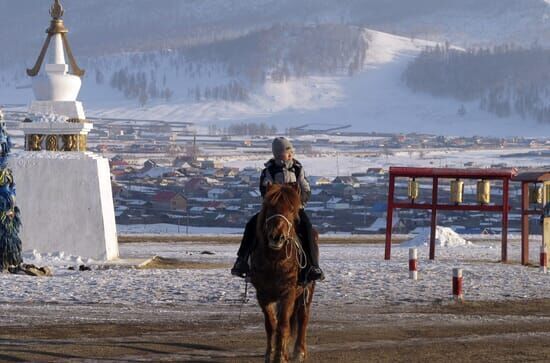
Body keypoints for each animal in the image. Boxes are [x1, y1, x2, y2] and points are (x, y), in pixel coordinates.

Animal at [251, 185, 316, 363]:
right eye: (270, 207)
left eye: (292, 209)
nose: (276, 237)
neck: (275, 260)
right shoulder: (263, 294)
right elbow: (271, 324)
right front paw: (270, 354)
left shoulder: (288, 293)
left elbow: (283, 325)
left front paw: (280, 357)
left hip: (308, 290)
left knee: (303, 318)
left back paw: (299, 352)